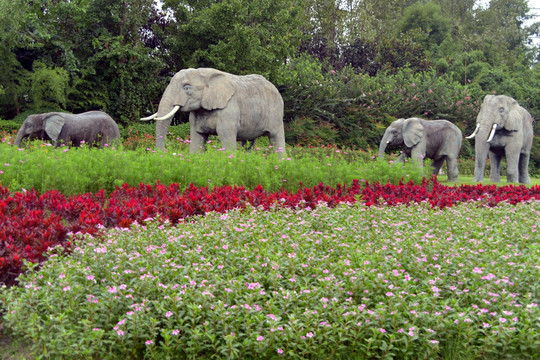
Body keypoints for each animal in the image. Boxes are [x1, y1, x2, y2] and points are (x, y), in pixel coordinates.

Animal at [142, 68, 286, 155]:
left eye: (187, 88)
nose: (163, 154)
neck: (204, 74)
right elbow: (197, 138)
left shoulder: (228, 110)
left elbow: (226, 137)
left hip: (276, 112)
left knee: (275, 138)